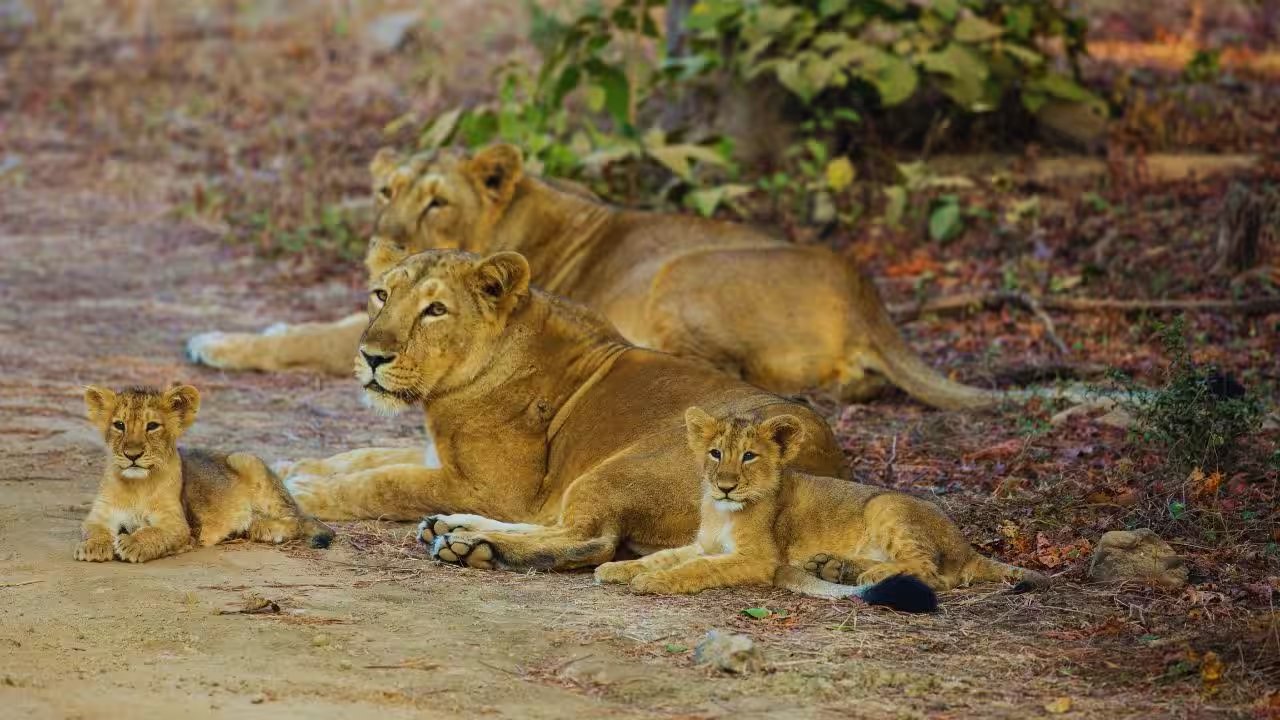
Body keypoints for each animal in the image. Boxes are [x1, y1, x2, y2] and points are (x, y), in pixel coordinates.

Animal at [75, 384, 332, 563]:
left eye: (152, 426)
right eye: (119, 425)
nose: (132, 455)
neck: (135, 486)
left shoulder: (178, 525)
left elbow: (155, 533)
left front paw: (132, 544)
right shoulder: (100, 514)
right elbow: (92, 529)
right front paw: (93, 546)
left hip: (246, 460)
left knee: (298, 519)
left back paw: (264, 528)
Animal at [186, 144, 996, 410]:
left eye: (438, 202)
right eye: (386, 191)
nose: (384, 243)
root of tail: (866, 292)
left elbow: (312, 336)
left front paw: (217, 344)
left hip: (680, 270)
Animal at [279, 249, 847, 572]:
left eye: (435, 309)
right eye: (381, 294)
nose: (370, 356)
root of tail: (824, 467)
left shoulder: (497, 488)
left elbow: (384, 481)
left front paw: (302, 491)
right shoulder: (443, 459)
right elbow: (365, 455)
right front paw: (296, 466)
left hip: (620, 470)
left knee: (590, 541)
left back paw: (473, 548)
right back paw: (454, 528)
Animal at [593, 406, 1047, 602]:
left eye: (749, 456)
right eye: (716, 453)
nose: (725, 486)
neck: (722, 511)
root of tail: (967, 546)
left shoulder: (760, 560)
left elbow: (698, 568)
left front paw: (653, 582)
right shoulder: (702, 543)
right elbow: (664, 556)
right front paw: (617, 569)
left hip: (886, 506)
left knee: (931, 573)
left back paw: (862, 573)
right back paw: (834, 567)